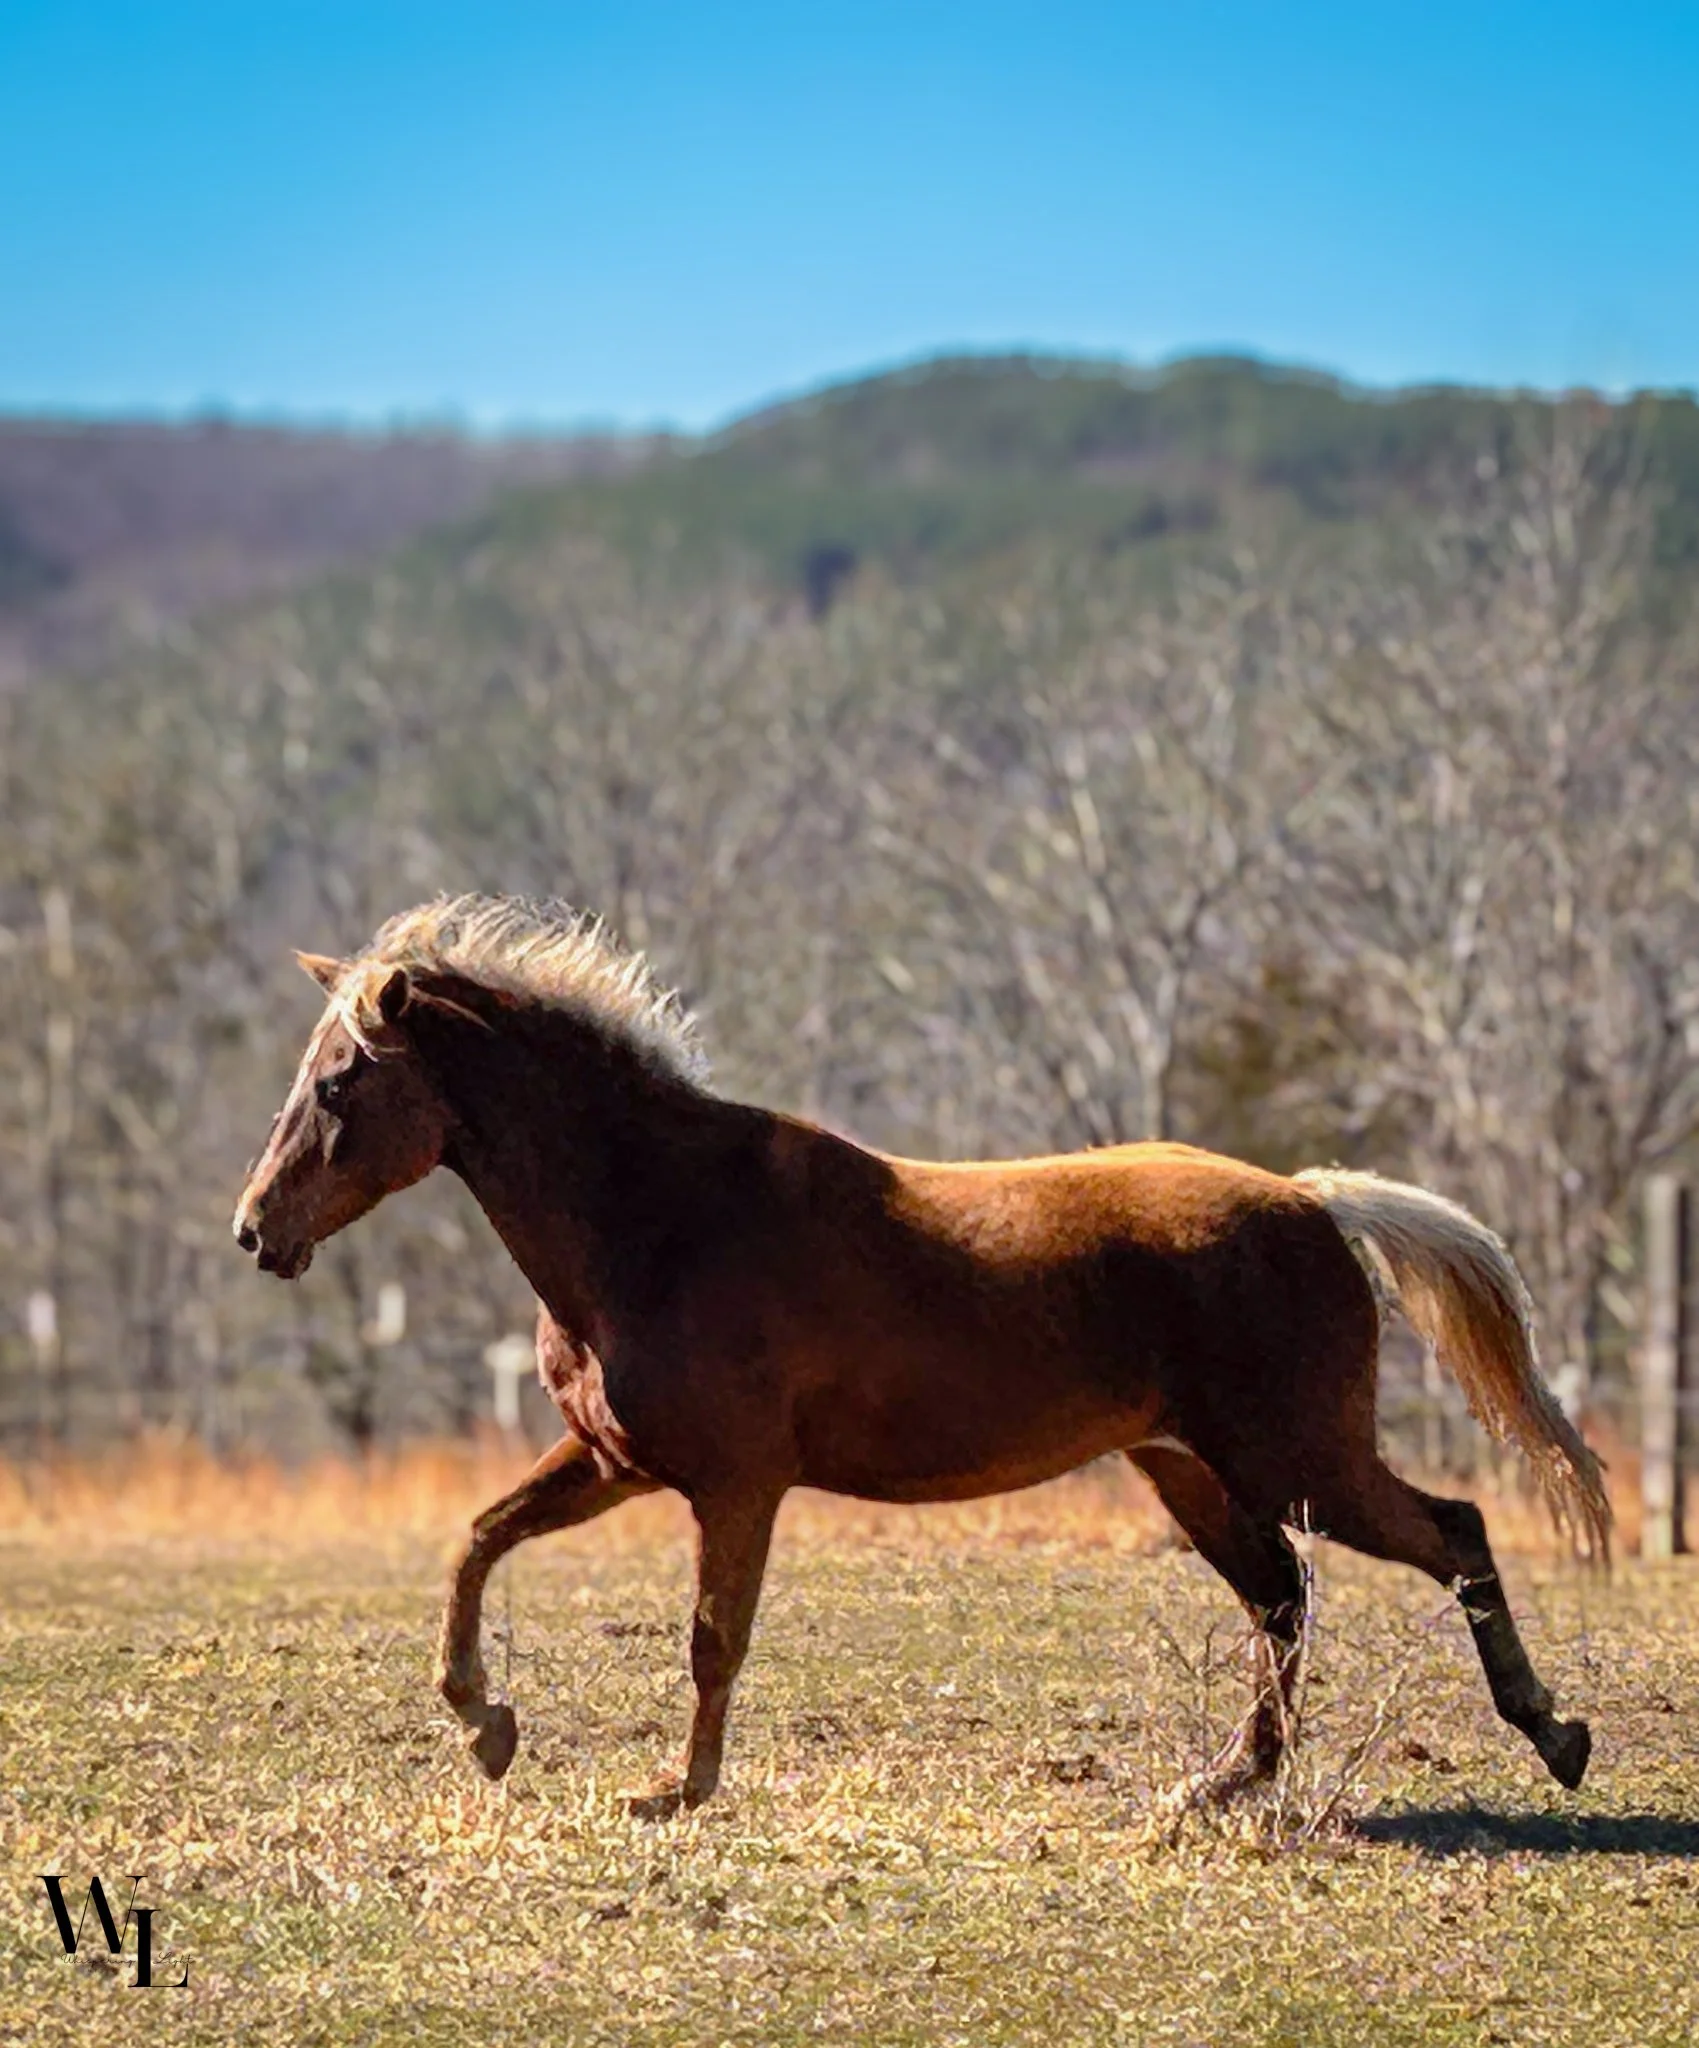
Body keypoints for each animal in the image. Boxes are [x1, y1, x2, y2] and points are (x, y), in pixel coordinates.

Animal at [232, 893, 1609, 1817]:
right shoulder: (616, 1459)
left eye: (342, 1079)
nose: (255, 1230)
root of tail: (1316, 1201)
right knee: (1282, 1596)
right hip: (1192, 1468)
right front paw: (487, 1726)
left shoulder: (735, 1483)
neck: (660, 1218)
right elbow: (477, 1540)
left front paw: (676, 1788)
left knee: (1451, 1533)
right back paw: (1222, 1783)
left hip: (1296, 1455)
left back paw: (1554, 1735)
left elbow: (710, 1635)